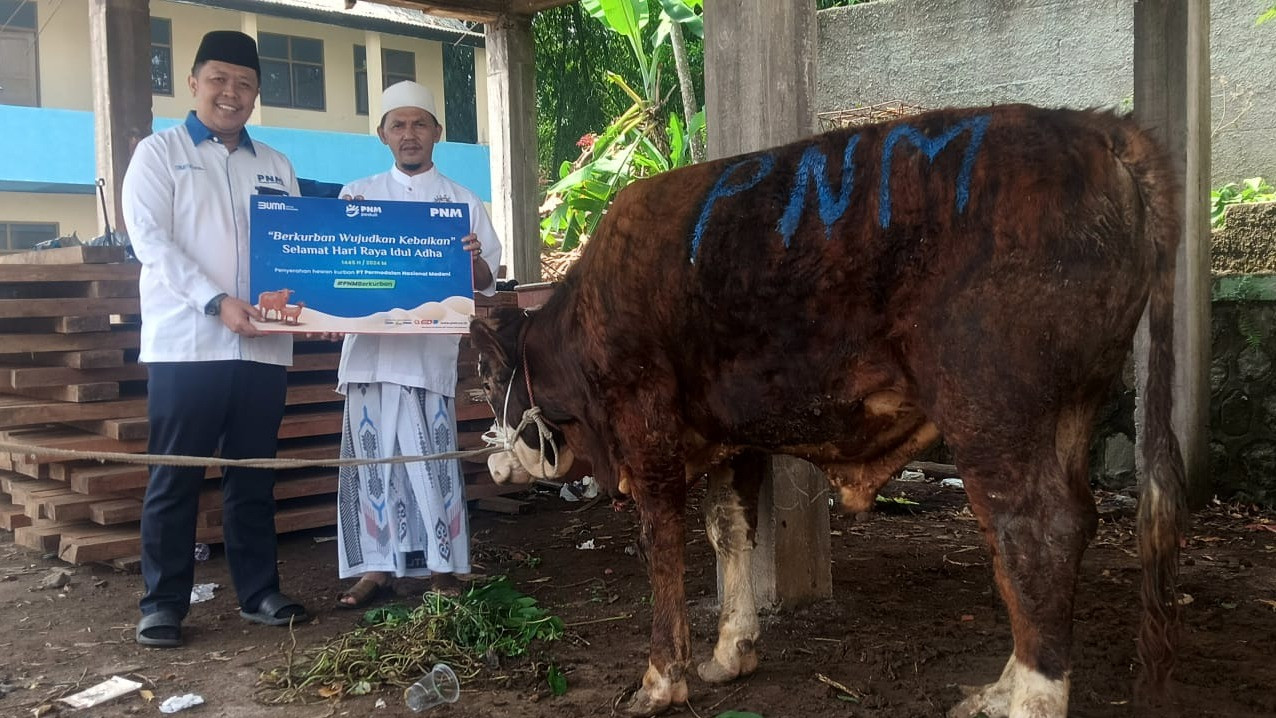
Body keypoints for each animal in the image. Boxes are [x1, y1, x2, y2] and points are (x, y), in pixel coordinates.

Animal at [474, 105, 1189, 718]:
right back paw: (998, 689)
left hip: (992, 409)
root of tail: (1098, 130)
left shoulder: (646, 427)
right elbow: (728, 529)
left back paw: (1030, 698)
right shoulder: (734, 435)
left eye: (485, 375)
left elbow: (663, 544)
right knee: (1040, 536)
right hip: (1068, 408)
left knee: (1036, 533)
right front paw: (731, 652)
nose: (492, 462)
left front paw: (659, 681)